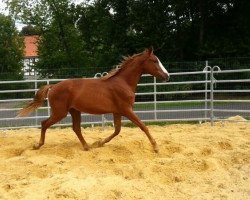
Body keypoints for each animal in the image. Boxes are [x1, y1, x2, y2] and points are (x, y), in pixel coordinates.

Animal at [17, 47, 170, 152]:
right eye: (154, 60)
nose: (167, 76)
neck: (123, 82)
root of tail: (53, 86)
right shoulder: (127, 110)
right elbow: (143, 126)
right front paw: (156, 147)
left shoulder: (117, 112)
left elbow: (117, 130)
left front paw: (99, 142)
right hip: (60, 112)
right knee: (44, 124)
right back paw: (38, 145)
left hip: (74, 111)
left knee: (76, 128)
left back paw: (87, 146)